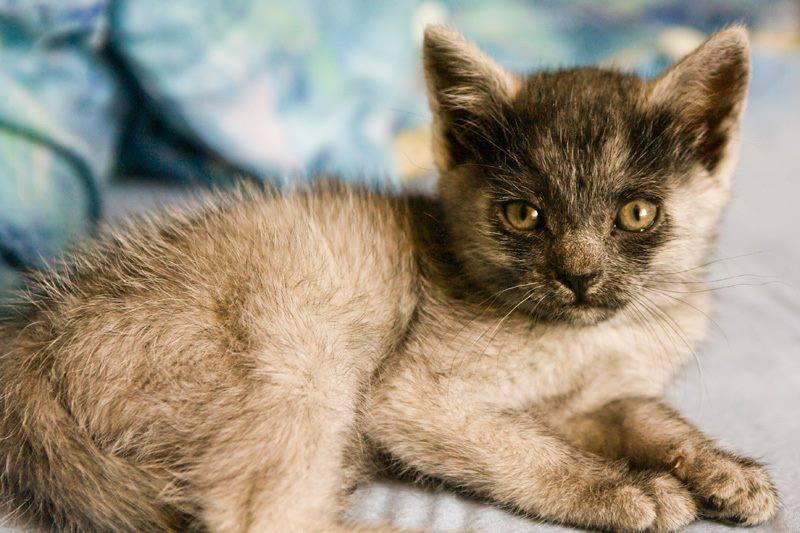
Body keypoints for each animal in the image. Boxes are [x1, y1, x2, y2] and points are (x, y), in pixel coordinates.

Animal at [0, 25, 778, 532]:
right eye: (523, 214)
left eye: (636, 212)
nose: (579, 276)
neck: (590, 337)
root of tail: (36, 334)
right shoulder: (413, 399)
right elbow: (526, 451)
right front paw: (628, 491)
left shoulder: (588, 400)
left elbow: (647, 416)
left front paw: (724, 469)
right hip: (297, 355)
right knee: (261, 514)